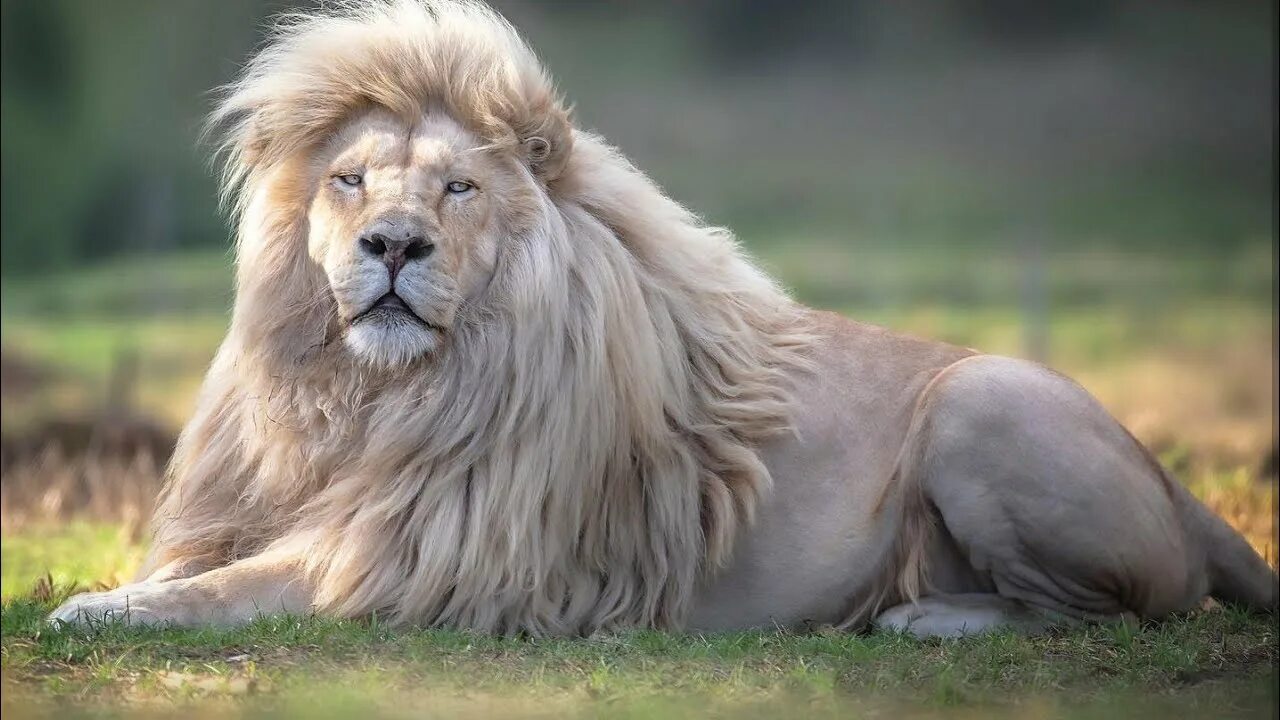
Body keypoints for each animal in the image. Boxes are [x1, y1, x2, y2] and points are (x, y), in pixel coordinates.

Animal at [49, 0, 1269, 632]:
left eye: (458, 189)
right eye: (350, 180)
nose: (391, 246)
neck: (367, 392)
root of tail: (1176, 484)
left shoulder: (418, 559)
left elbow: (221, 593)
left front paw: (86, 611)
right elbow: (195, 569)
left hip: (983, 398)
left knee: (1114, 611)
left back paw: (924, 616)